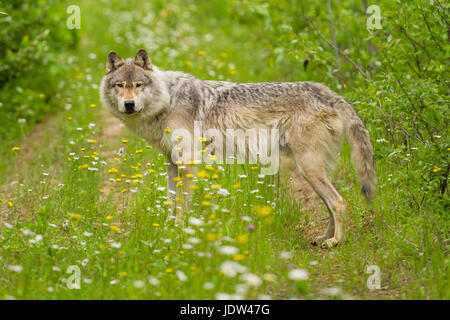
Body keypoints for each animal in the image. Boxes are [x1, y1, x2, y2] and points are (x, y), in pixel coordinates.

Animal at [99, 48, 376, 248]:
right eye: (120, 86)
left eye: (138, 85)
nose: (129, 105)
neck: (168, 99)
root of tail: (328, 92)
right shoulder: (171, 162)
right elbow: (170, 201)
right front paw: (168, 228)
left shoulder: (189, 162)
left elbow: (183, 204)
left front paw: (180, 232)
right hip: (312, 171)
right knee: (331, 205)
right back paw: (324, 238)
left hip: (308, 168)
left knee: (339, 202)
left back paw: (336, 241)